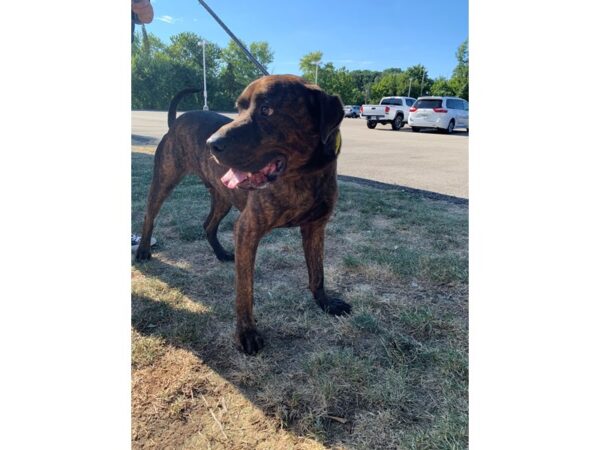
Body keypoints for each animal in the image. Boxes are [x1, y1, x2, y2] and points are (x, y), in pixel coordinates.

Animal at [136, 74, 352, 356]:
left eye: (267, 110)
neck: (304, 175)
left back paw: (220, 253)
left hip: (222, 198)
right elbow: (245, 291)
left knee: (208, 225)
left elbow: (318, 272)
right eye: (238, 109)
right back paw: (142, 251)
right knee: (149, 216)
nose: (211, 144)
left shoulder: (315, 228)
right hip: (163, 181)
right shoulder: (248, 229)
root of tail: (175, 122)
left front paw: (325, 303)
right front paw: (247, 334)